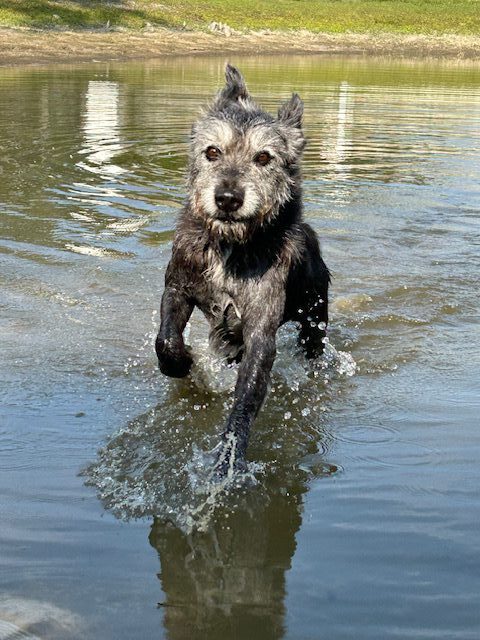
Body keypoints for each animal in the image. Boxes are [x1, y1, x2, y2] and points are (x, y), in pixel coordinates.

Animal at [156, 65, 328, 476]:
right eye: (212, 151)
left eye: (263, 157)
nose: (228, 198)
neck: (229, 245)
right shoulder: (178, 286)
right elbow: (166, 339)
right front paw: (181, 363)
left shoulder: (261, 329)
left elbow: (247, 396)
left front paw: (228, 458)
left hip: (314, 316)